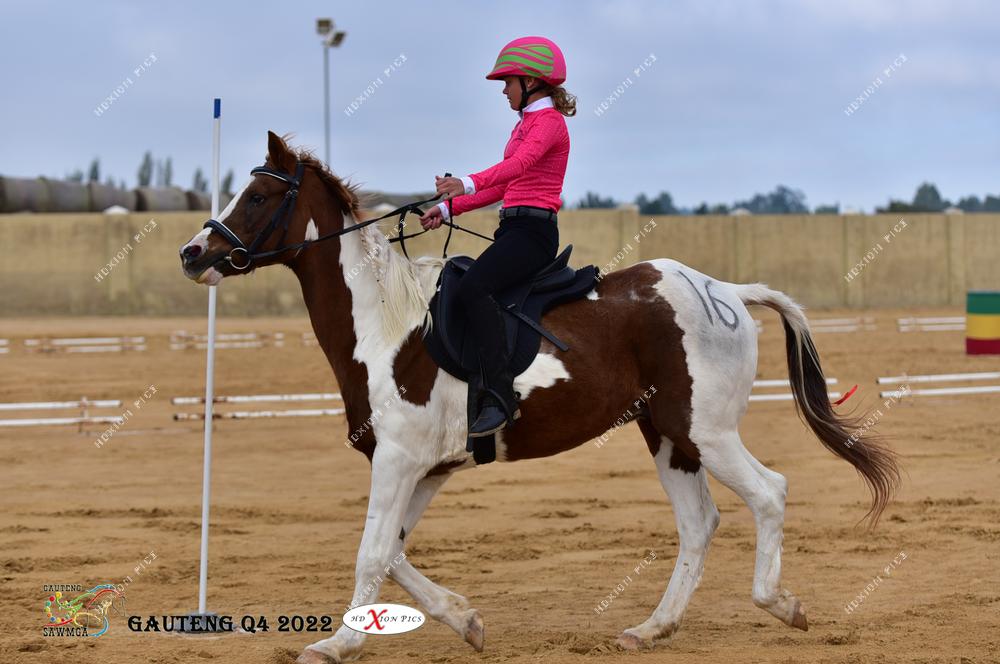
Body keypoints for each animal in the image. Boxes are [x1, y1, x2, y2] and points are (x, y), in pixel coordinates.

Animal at [180, 132, 900, 660]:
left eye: (258, 195)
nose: (192, 253)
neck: (387, 326)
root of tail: (726, 290)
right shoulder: (424, 469)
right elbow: (394, 550)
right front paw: (464, 619)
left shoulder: (398, 461)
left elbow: (372, 552)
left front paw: (338, 643)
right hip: (669, 436)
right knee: (699, 523)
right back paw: (652, 628)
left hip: (708, 431)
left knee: (769, 493)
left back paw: (781, 605)